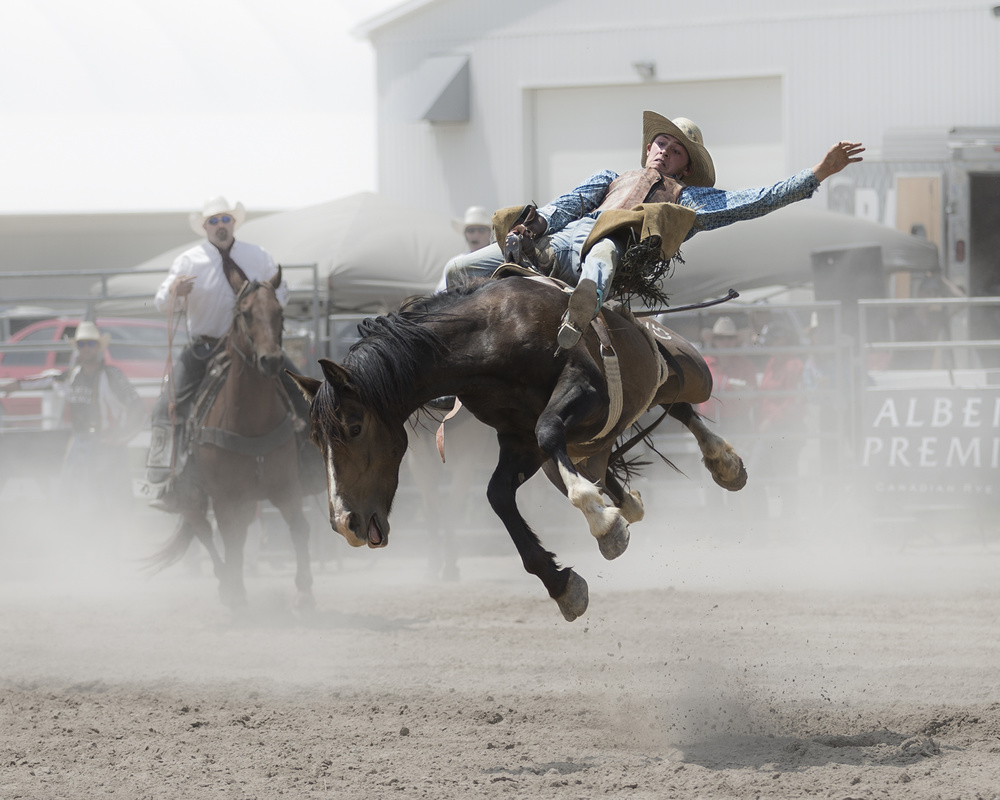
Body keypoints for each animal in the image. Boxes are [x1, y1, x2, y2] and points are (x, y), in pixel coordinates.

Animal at [147, 266, 312, 608]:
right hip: (190, 494)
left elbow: (299, 528)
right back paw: (226, 584)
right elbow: (229, 539)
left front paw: (305, 592)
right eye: (245, 313)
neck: (250, 422)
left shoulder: (286, 487)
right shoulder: (225, 497)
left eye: (280, 312)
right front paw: (237, 595)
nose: (271, 360)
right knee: (204, 531)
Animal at [288, 278, 744, 620]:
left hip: (681, 375)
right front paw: (562, 584)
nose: (344, 523)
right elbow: (498, 494)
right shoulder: (517, 439)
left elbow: (549, 430)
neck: (488, 338)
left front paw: (601, 521)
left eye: (354, 427)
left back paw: (723, 461)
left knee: (677, 397)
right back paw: (626, 498)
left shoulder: (587, 387)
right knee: (608, 457)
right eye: (314, 440)